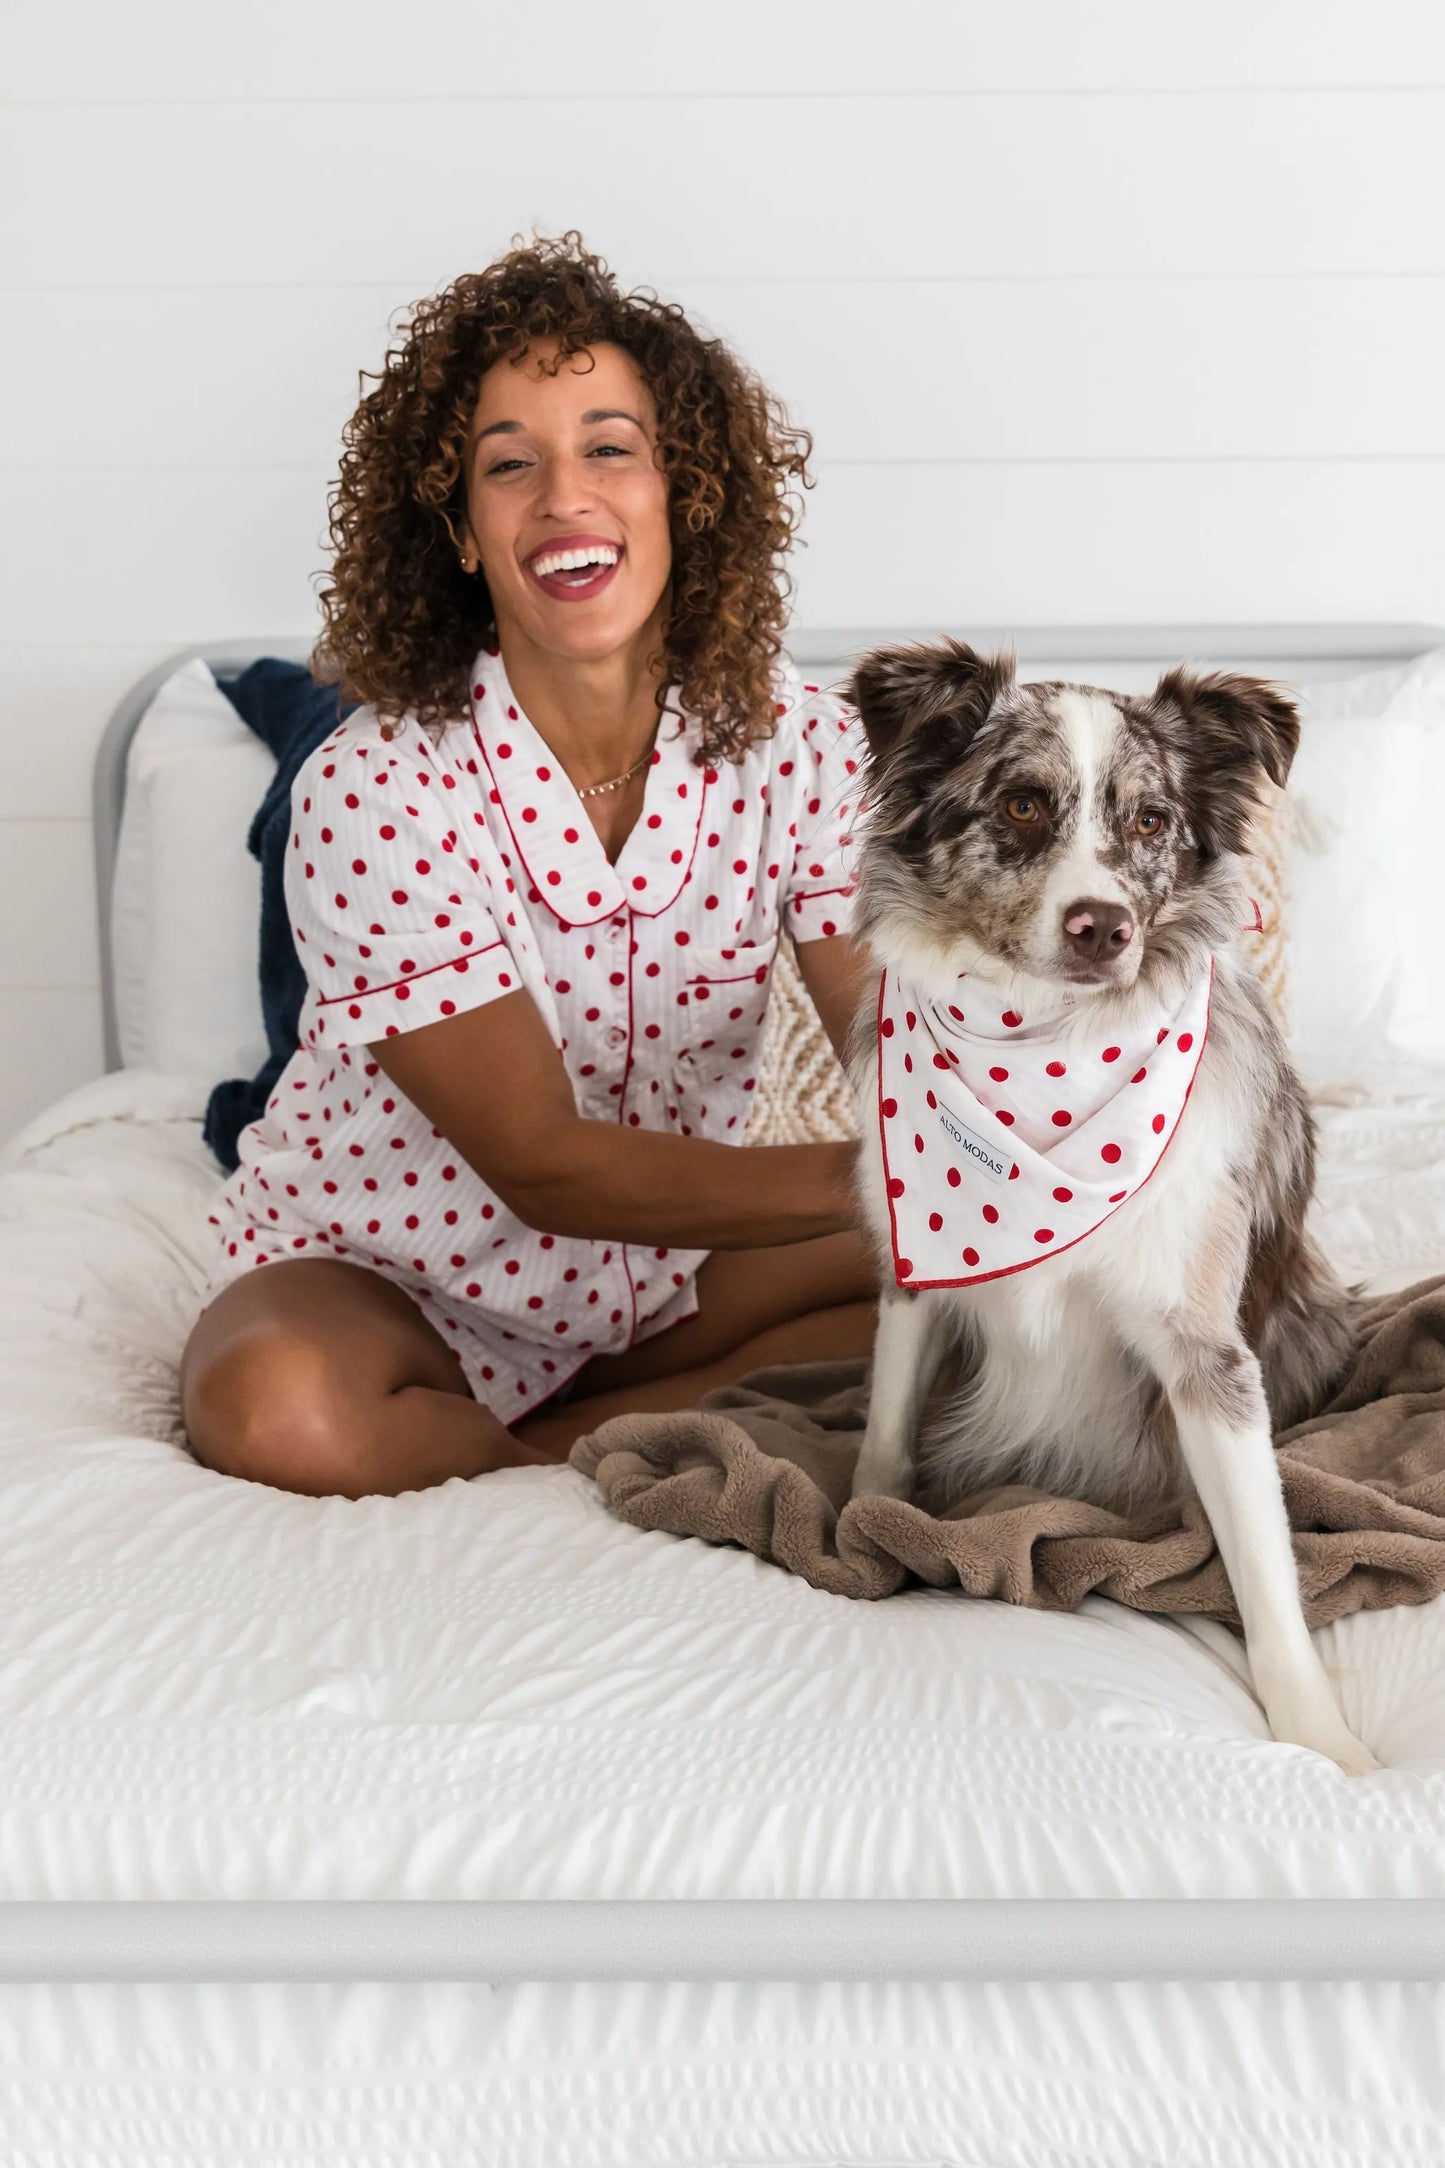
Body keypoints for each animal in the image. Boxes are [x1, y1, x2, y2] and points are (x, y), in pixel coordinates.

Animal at [849, 633, 1377, 1769]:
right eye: (1018, 804)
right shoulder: (910, 1276)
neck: (1040, 1042)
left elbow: (1264, 1560)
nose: (1104, 926)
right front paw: (860, 1522)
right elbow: (883, 1429)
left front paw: (1320, 1737)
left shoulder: (1205, 1348)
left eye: (1148, 821)